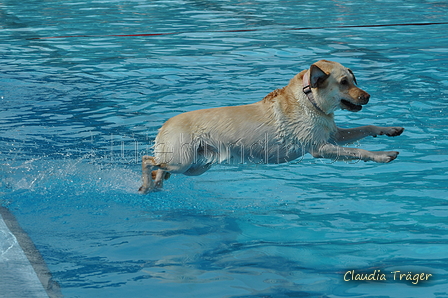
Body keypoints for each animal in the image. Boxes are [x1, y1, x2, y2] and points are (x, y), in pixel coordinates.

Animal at [138, 60, 404, 193]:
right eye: (344, 82)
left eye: (354, 79)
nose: (367, 96)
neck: (310, 101)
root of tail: (165, 124)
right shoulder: (320, 148)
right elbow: (359, 151)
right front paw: (383, 155)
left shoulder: (334, 135)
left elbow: (367, 127)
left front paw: (389, 130)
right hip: (182, 160)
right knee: (147, 160)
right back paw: (147, 185)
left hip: (196, 166)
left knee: (160, 168)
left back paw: (155, 184)